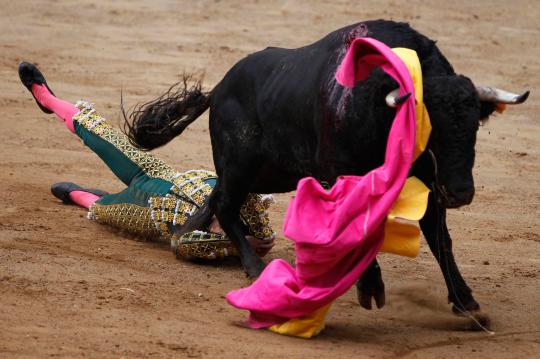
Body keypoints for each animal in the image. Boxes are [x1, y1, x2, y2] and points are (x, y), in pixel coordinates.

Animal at [126, 20, 528, 320]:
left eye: (474, 126)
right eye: (431, 130)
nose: (461, 192)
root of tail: (219, 88)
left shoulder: (429, 182)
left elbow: (439, 236)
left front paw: (465, 301)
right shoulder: (340, 174)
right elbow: (360, 228)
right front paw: (370, 287)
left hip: (269, 172)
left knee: (217, 199)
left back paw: (186, 234)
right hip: (241, 165)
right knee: (226, 205)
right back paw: (255, 267)